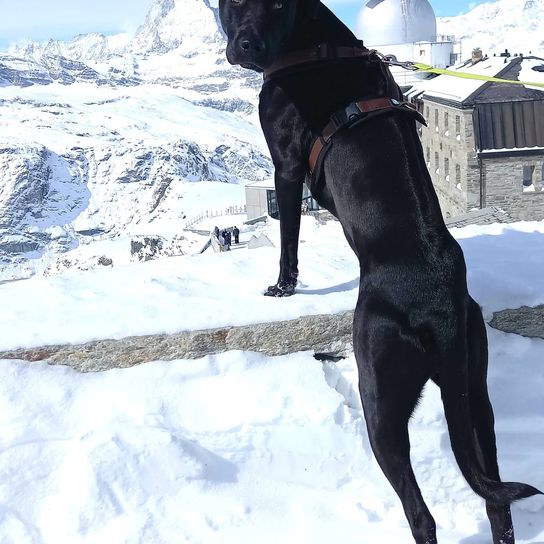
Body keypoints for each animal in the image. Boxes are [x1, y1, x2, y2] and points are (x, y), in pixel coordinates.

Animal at [218, 0, 542, 542]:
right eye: (235, 6)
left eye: (278, 6)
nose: (247, 46)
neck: (314, 42)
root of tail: (441, 309)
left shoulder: (285, 166)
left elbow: (288, 239)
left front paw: (283, 288)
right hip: (476, 395)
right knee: (496, 497)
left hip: (379, 396)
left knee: (421, 513)